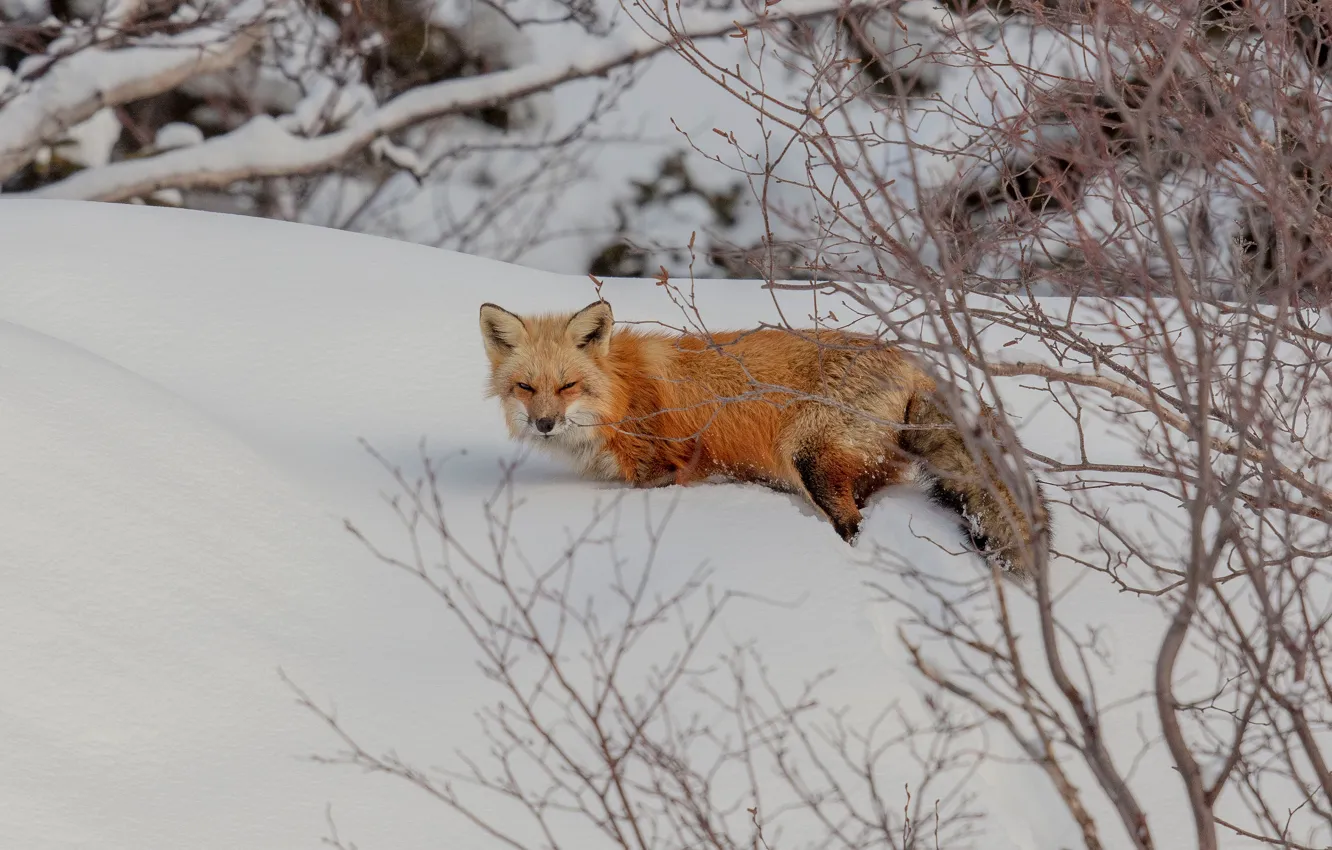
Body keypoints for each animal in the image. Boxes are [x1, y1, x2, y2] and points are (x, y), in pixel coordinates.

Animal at [478, 299, 1050, 577]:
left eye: (567, 386)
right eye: (526, 388)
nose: (544, 423)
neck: (618, 394)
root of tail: (915, 364)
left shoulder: (663, 470)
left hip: (810, 459)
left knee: (852, 522)